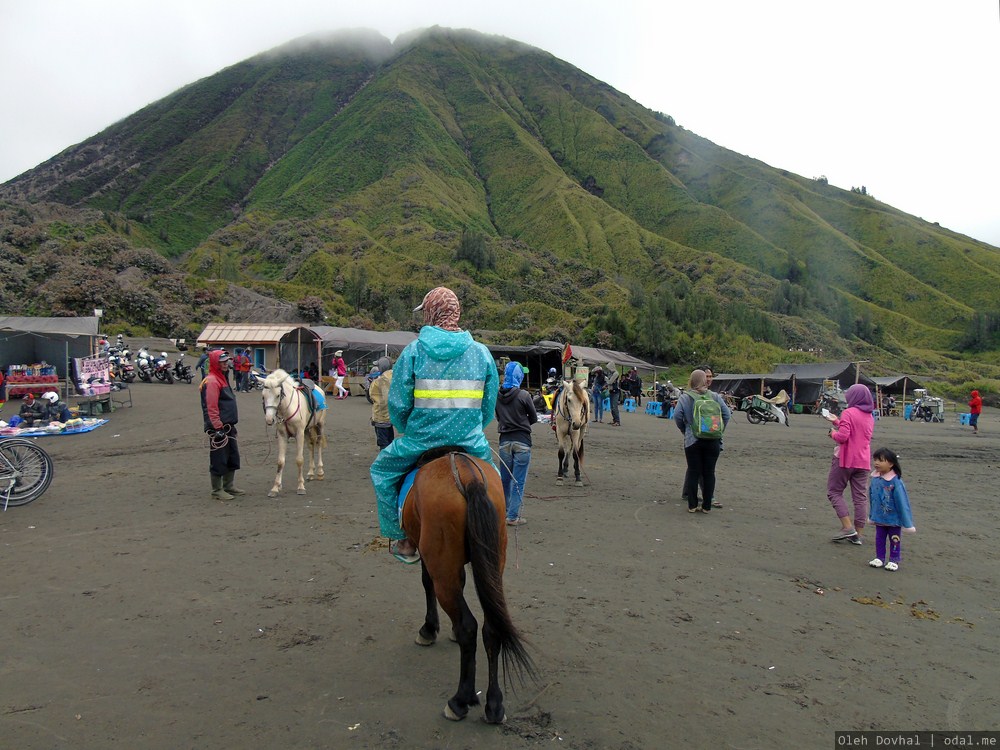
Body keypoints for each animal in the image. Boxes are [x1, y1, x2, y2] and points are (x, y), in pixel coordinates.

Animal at [262, 372, 328, 500]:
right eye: (263, 396)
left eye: (278, 395)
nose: (269, 419)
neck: (287, 409)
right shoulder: (282, 436)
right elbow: (280, 462)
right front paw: (275, 488)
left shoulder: (299, 434)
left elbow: (299, 460)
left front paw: (301, 487)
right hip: (307, 429)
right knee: (311, 446)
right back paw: (311, 473)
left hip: (319, 425)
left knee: (319, 445)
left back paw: (320, 472)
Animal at [400, 450, 536, 724]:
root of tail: (469, 478)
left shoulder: (431, 559)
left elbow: (426, 583)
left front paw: (429, 629)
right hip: (494, 563)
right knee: (491, 628)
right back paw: (494, 706)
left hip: (442, 566)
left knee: (468, 626)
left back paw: (459, 700)